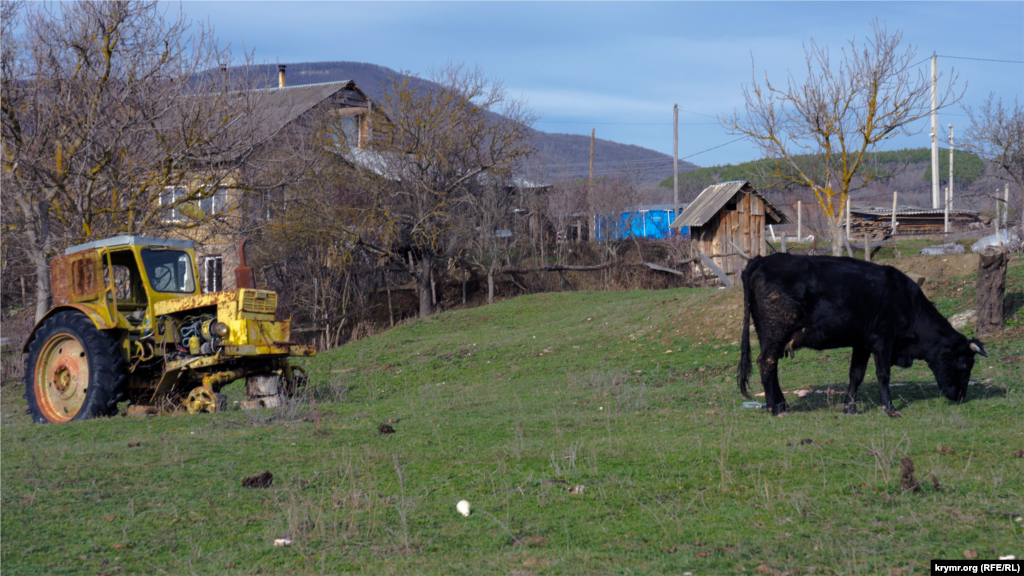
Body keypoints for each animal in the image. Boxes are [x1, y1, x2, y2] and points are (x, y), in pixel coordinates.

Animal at [741, 253, 987, 414]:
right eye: (966, 364)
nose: (961, 397)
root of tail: (762, 259)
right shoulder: (884, 340)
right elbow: (883, 374)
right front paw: (889, 408)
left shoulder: (862, 343)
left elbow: (856, 374)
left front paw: (850, 407)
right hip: (776, 330)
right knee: (767, 362)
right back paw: (775, 408)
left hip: (768, 333)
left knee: (771, 366)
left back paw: (782, 405)